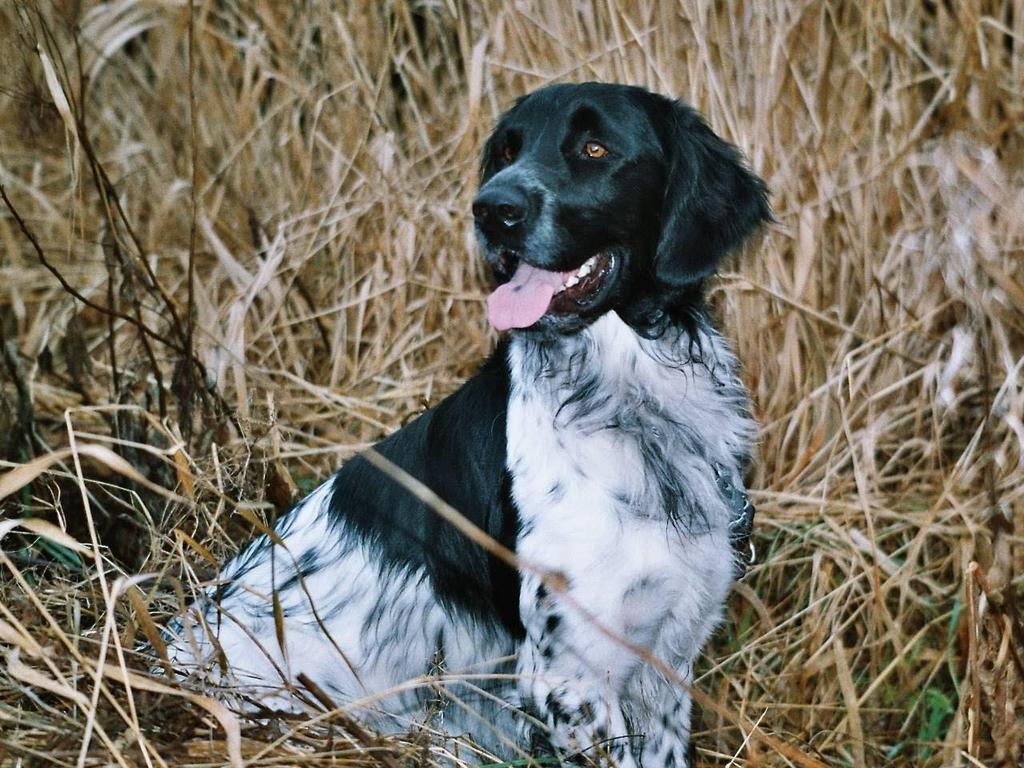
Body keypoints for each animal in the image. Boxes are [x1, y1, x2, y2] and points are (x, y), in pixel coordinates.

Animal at [161, 81, 770, 765]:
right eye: (508, 150)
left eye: (595, 148)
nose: (493, 209)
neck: (628, 401)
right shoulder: (570, 678)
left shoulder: (666, 662)